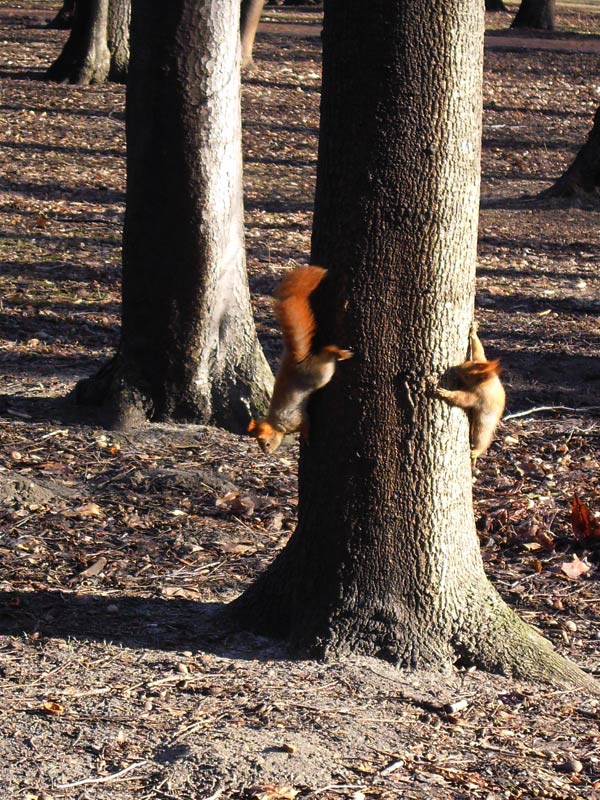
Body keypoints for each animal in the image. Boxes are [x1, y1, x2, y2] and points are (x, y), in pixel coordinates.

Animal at [247, 266, 352, 454]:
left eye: (266, 443)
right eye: (259, 444)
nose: (266, 453)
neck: (277, 423)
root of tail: (298, 359)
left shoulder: (295, 418)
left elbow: (306, 424)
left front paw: (307, 438)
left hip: (319, 374)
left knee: (327, 354)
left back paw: (340, 353)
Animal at [436, 324, 506, 462]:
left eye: (468, 376)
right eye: (470, 363)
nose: (455, 368)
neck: (487, 382)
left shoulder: (479, 396)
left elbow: (463, 399)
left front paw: (445, 393)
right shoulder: (481, 360)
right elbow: (479, 351)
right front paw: (473, 330)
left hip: (483, 425)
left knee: (482, 439)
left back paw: (476, 452)